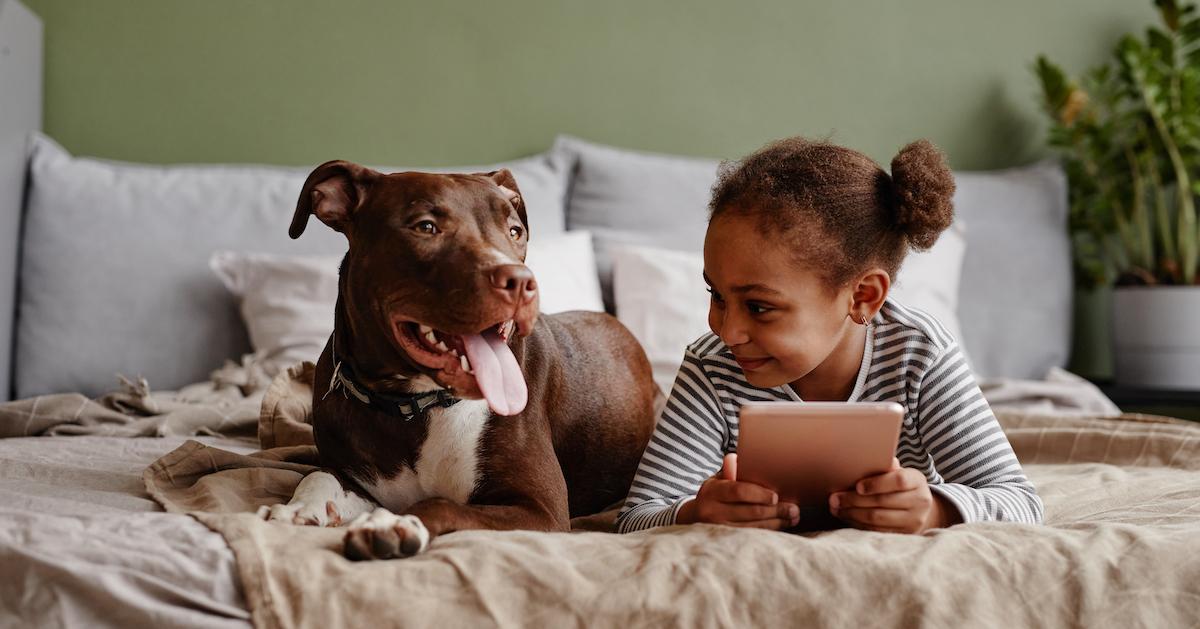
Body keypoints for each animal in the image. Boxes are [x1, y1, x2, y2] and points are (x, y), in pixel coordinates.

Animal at [258, 158, 662, 559]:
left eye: (515, 231)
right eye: (426, 227)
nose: (521, 281)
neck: (410, 406)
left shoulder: (541, 509)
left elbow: (441, 503)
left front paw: (394, 523)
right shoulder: (354, 476)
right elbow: (317, 476)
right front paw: (299, 508)